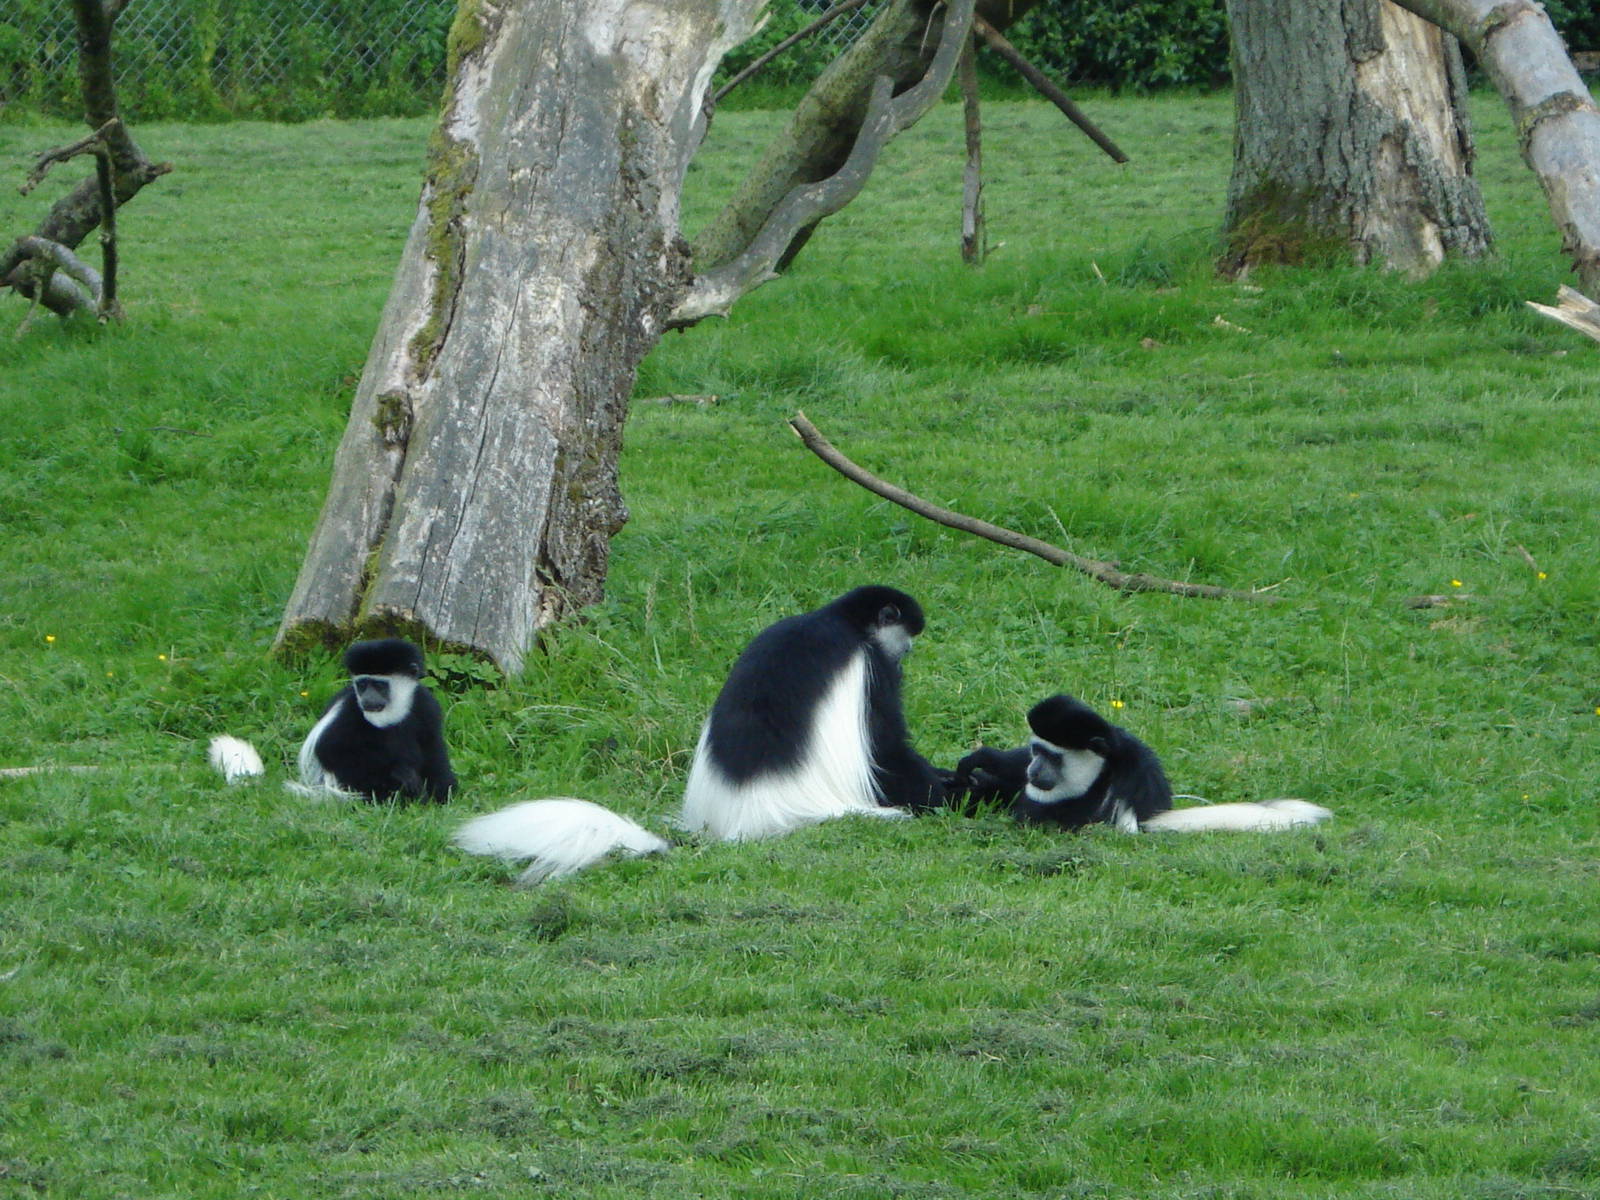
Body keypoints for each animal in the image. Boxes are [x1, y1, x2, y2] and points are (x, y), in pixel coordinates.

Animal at [452, 585, 948, 881]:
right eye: (905, 635)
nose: (910, 649)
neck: (843, 622)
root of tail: (741, 820)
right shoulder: (875, 668)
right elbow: (888, 748)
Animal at [953, 693, 1331, 833]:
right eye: (1036, 750)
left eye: (1052, 757)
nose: (1034, 771)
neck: (1102, 771)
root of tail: (1154, 815)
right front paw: (984, 760)